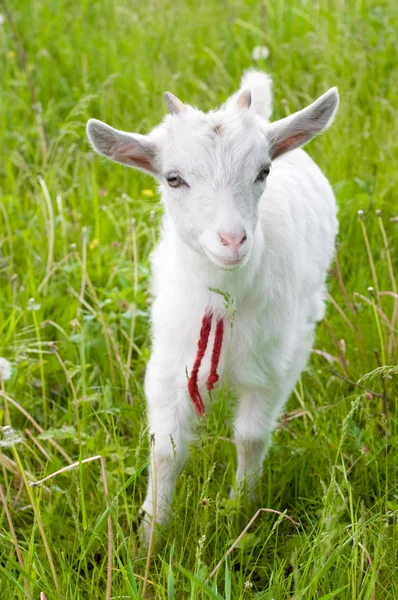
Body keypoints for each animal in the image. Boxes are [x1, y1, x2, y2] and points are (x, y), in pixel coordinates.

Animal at [87, 69, 338, 540]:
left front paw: (241, 512)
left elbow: (251, 437)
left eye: (263, 170)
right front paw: (151, 535)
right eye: (173, 178)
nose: (233, 240)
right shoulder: (169, 366)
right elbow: (166, 450)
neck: (223, 302)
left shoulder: (274, 367)